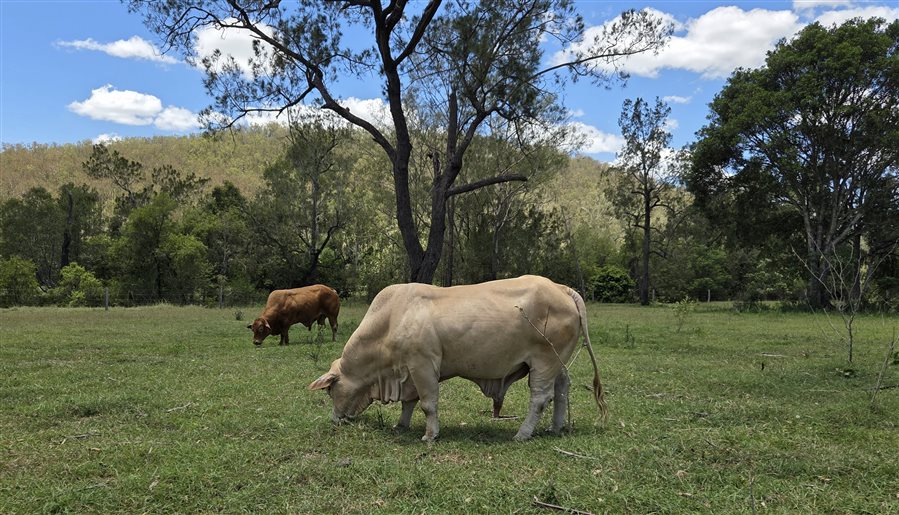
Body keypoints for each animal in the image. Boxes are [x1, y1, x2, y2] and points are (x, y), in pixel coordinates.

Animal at [308, 275, 607, 442]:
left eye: (331, 390)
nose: (335, 420)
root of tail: (561, 288)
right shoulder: (408, 372)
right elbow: (408, 402)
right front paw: (401, 425)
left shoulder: (423, 366)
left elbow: (427, 404)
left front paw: (430, 435)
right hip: (557, 363)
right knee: (562, 389)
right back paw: (555, 428)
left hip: (544, 362)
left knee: (541, 398)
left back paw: (522, 434)